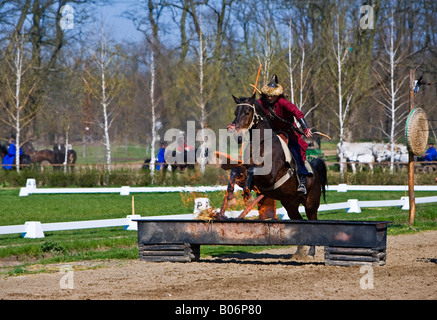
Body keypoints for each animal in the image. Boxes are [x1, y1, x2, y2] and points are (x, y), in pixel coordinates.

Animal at [221, 94, 328, 258]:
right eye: (235, 113)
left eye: (247, 112)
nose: (237, 136)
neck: (261, 143)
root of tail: (315, 170)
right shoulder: (245, 168)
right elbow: (236, 171)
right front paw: (232, 196)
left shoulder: (269, 176)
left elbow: (252, 171)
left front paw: (247, 194)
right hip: (290, 204)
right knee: (299, 221)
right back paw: (299, 251)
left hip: (311, 204)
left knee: (312, 221)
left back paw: (310, 252)